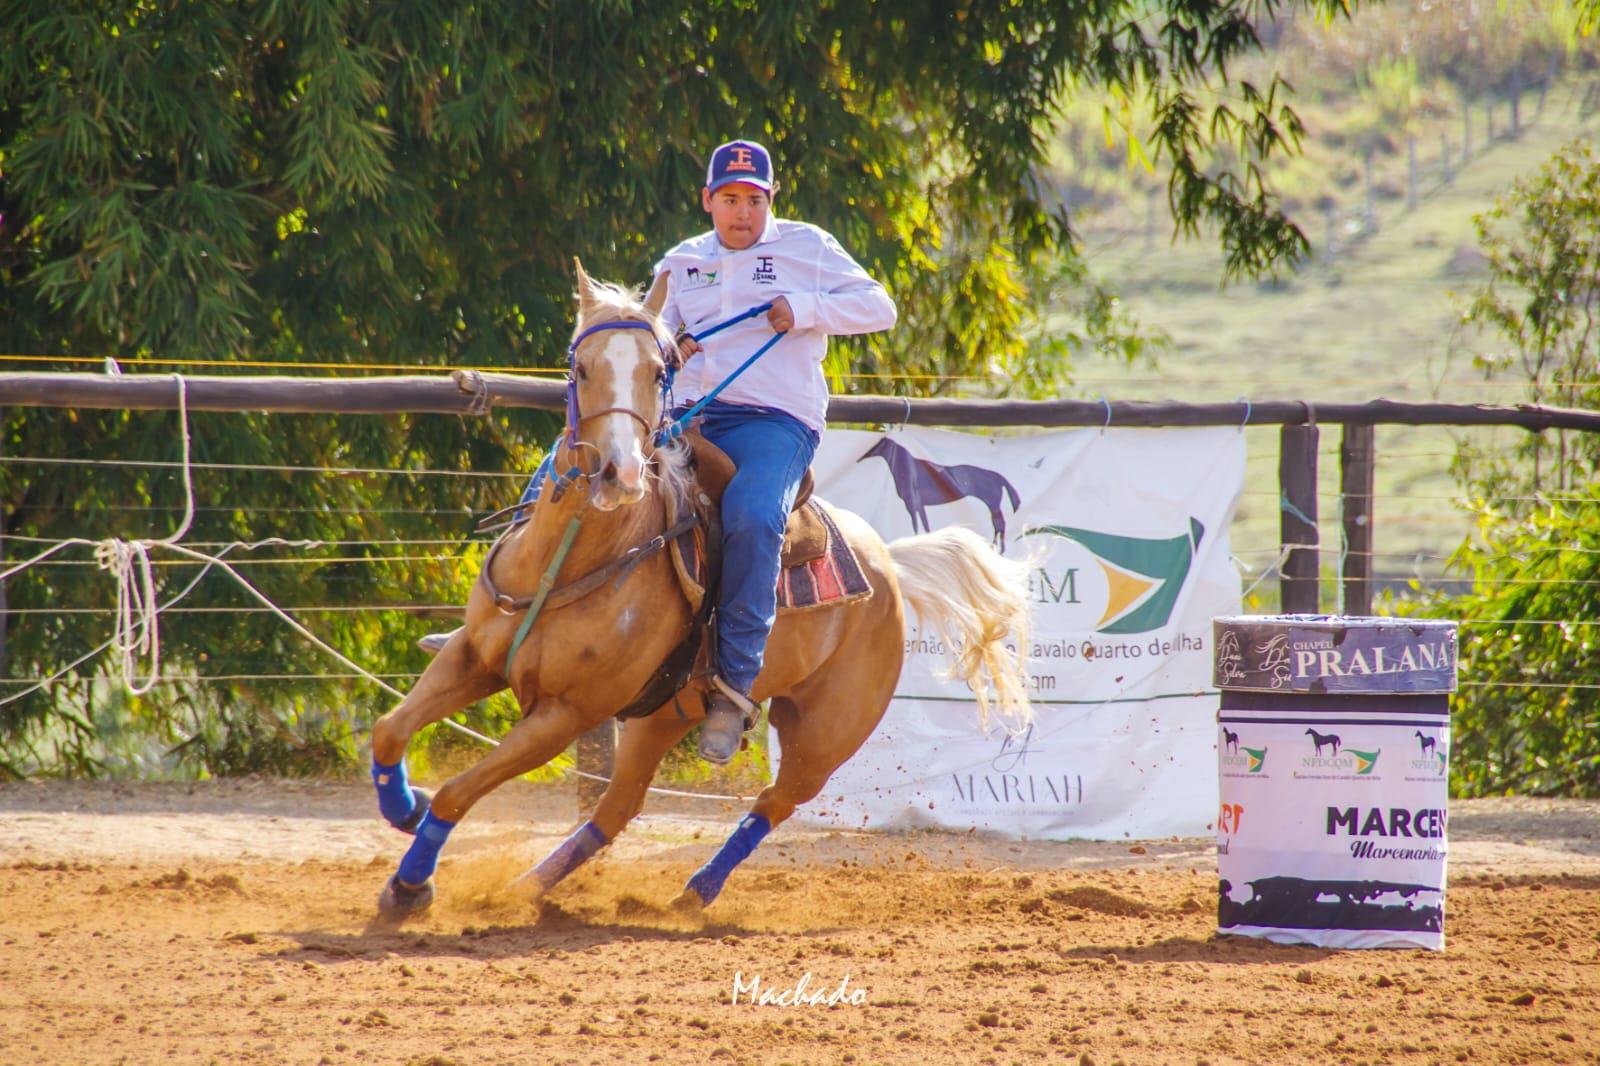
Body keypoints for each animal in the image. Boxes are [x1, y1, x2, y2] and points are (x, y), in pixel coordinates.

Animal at [859, 436, 1020, 552]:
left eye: (878, 445)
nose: (861, 456)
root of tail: (999, 477)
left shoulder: (911, 503)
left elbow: (916, 525)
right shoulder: (920, 505)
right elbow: (925, 525)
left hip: (992, 504)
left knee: (999, 524)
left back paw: (997, 549)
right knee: (999, 525)